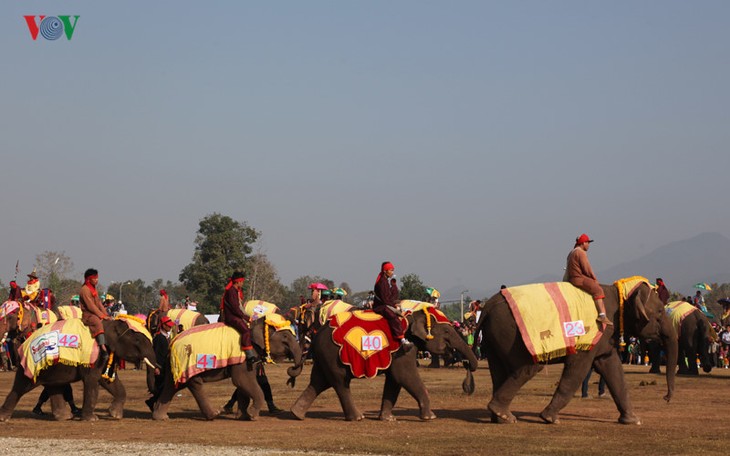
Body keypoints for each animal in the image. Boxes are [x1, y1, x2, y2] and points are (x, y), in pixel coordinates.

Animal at [0, 318, 159, 422]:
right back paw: (4, 418)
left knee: (54, 387)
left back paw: (65, 417)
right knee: (21, 387)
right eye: (137, 341)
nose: (150, 397)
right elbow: (92, 380)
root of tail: (23, 345)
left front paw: (115, 415)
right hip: (31, 364)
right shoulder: (95, 355)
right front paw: (92, 419)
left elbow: (108, 381)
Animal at [151, 318, 302, 420]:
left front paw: (243, 417)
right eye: (285, 337)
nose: (291, 369)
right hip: (187, 362)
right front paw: (252, 416)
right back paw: (214, 415)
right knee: (194, 383)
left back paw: (160, 417)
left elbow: (242, 384)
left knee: (171, 385)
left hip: (175, 366)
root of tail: (172, 342)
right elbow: (242, 380)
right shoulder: (244, 356)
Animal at [290, 308, 478, 422]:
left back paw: (296, 414)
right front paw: (430, 417)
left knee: (319, 382)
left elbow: (394, 380)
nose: (469, 365)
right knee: (340, 383)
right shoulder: (404, 349)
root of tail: (316, 335)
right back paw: (357, 417)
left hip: (324, 358)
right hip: (332, 356)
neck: (413, 315)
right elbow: (405, 376)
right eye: (446, 331)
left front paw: (388, 419)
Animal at [474, 280, 672, 426]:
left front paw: (633, 421)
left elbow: (612, 367)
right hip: (511, 334)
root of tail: (487, 307)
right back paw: (505, 416)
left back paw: (500, 418)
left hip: (494, 337)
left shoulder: (605, 337)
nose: (666, 398)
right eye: (660, 312)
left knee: (499, 372)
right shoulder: (593, 335)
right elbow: (578, 369)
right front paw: (550, 419)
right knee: (528, 368)